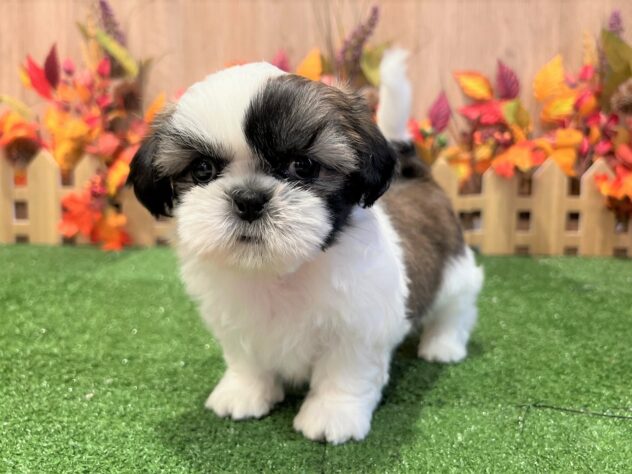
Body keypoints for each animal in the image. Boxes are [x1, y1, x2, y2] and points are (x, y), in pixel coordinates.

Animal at [128, 49, 483, 444]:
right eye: (202, 169)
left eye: (302, 166)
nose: (249, 198)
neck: (280, 271)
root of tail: (413, 173)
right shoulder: (235, 320)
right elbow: (246, 358)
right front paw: (243, 392)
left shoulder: (358, 326)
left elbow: (345, 372)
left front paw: (333, 413)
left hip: (455, 268)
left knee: (457, 305)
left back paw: (443, 344)